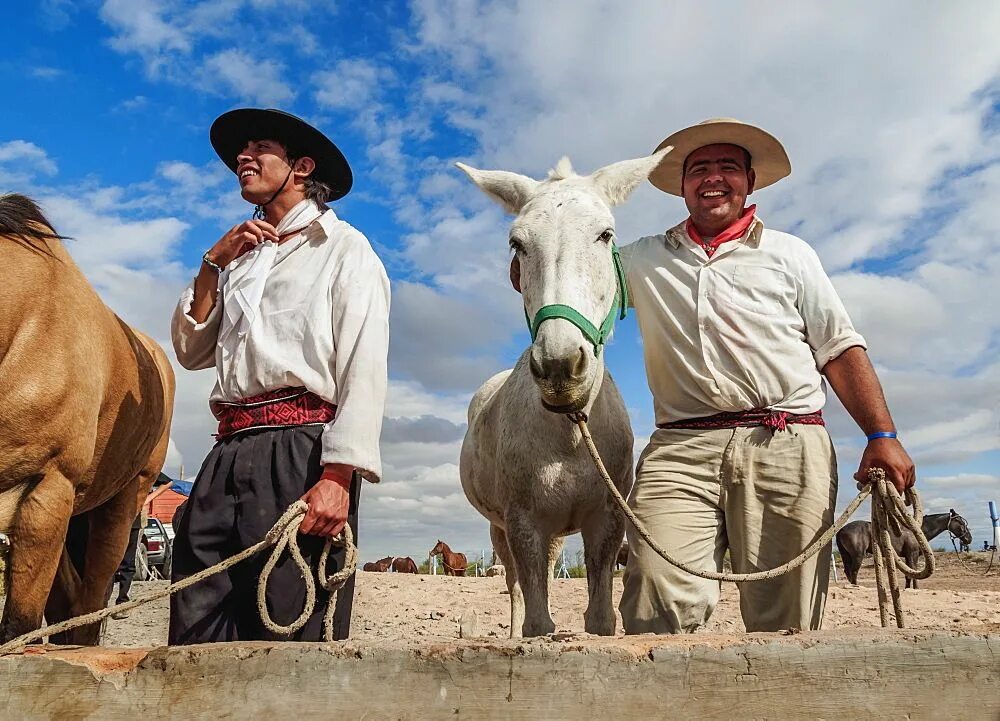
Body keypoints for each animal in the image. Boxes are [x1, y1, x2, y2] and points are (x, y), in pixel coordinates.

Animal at [460, 149, 672, 632]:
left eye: (605, 234)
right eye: (517, 244)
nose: (559, 366)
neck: (570, 431)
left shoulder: (607, 523)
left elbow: (600, 619)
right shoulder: (523, 525)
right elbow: (537, 619)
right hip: (501, 531)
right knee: (516, 587)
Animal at [836, 510, 968, 588]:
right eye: (961, 523)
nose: (968, 539)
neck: (917, 529)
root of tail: (841, 530)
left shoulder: (908, 556)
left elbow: (908, 574)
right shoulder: (913, 555)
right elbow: (914, 572)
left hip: (846, 556)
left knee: (848, 572)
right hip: (858, 556)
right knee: (854, 572)